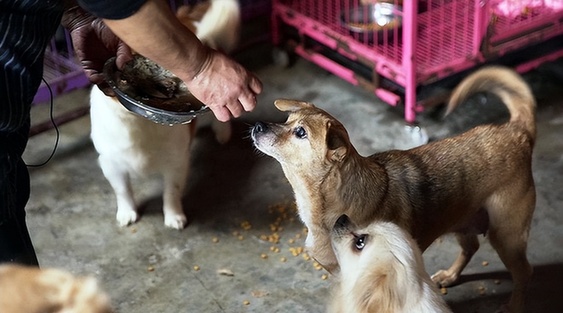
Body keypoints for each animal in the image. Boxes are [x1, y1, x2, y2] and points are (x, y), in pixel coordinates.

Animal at [90, 0, 238, 229]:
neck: (139, 124)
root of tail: (183, 20)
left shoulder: (176, 162)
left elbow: (171, 191)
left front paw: (173, 215)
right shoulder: (111, 164)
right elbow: (122, 191)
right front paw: (127, 212)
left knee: (222, 117)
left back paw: (222, 134)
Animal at [253, 65, 540, 310]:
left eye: (300, 132)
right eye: (287, 119)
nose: (257, 125)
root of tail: (516, 132)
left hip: (506, 235)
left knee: (524, 273)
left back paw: (514, 305)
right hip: (462, 219)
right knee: (471, 247)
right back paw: (450, 275)